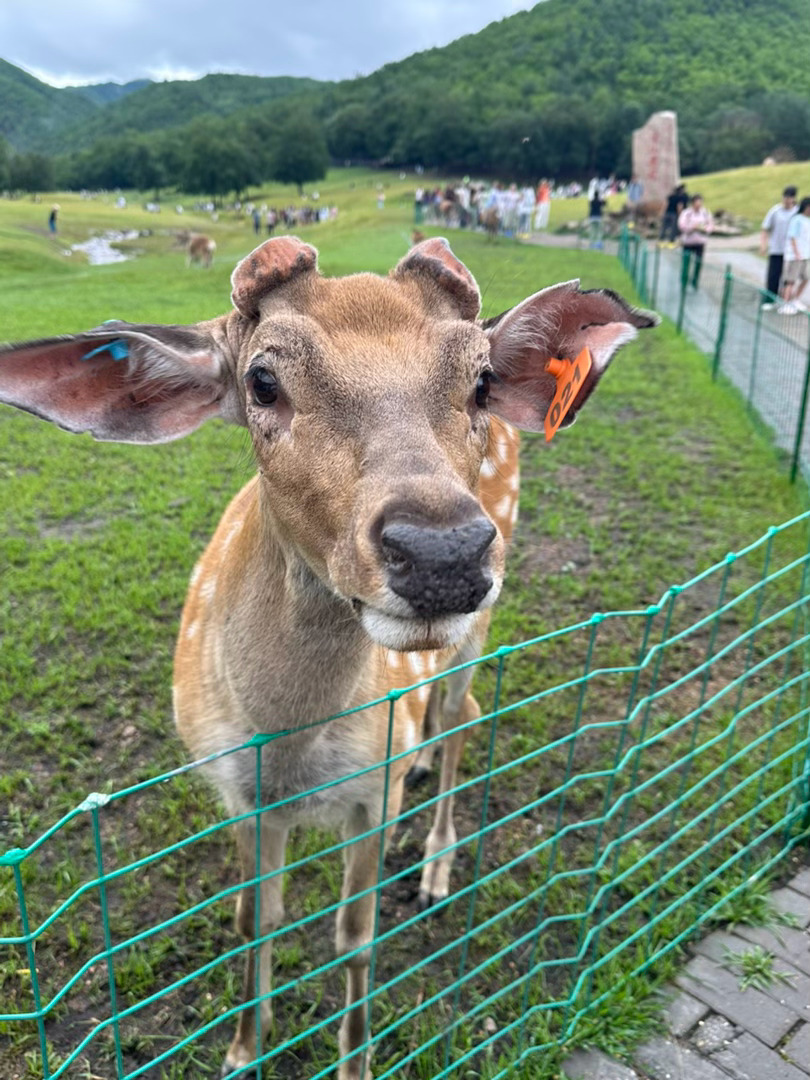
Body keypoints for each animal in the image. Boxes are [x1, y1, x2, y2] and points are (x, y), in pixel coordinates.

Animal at [0, 235, 656, 1078]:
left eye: (479, 380)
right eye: (262, 380)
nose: (442, 552)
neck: (290, 754)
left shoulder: (371, 790)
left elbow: (354, 936)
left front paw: (354, 1058)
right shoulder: (236, 793)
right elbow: (256, 920)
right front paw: (242, 1051)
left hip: (476, 631)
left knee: (463, 713)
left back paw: (437, 864)